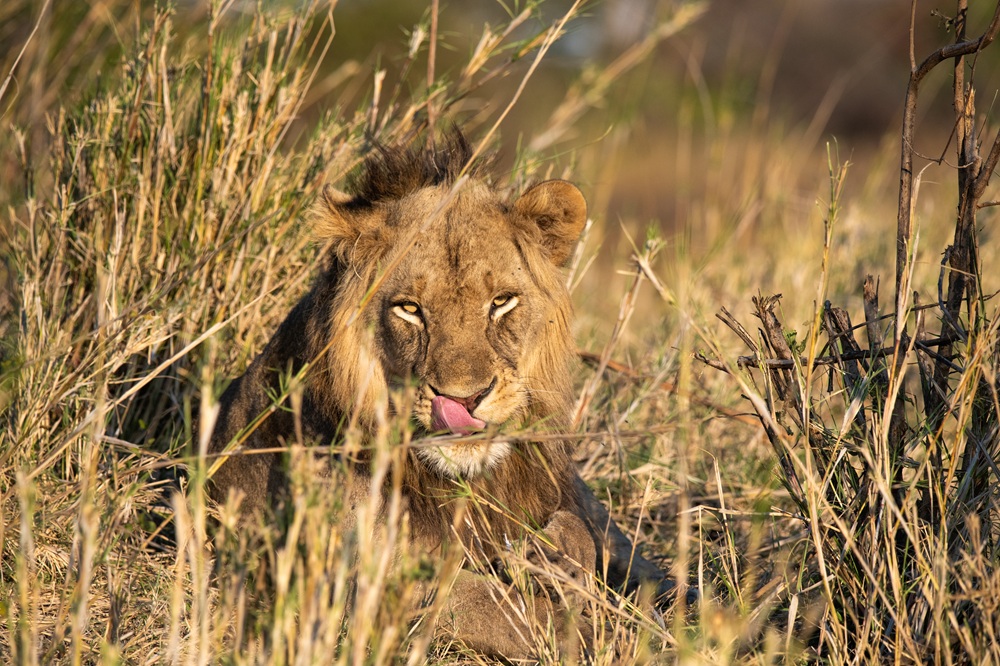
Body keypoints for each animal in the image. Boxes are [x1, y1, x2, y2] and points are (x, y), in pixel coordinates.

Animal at [207, 133, 673, 659]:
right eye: (409, 309)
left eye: (502, 302)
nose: (464, 400)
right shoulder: (356, 587)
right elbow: (496, 607)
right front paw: (611, 631)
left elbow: (585, 542)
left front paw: (554, 560)